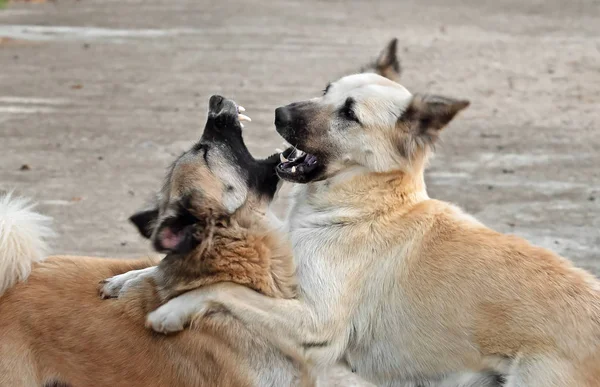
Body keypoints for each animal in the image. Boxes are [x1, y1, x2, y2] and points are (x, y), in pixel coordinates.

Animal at [108, 73, 600, 387]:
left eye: (349, 113)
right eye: (327, 90)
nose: (278, 111)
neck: (363, 205)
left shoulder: (315, 324)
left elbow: (225, 289)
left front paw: (172, 311)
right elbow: (163, 269)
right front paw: (126, 279)